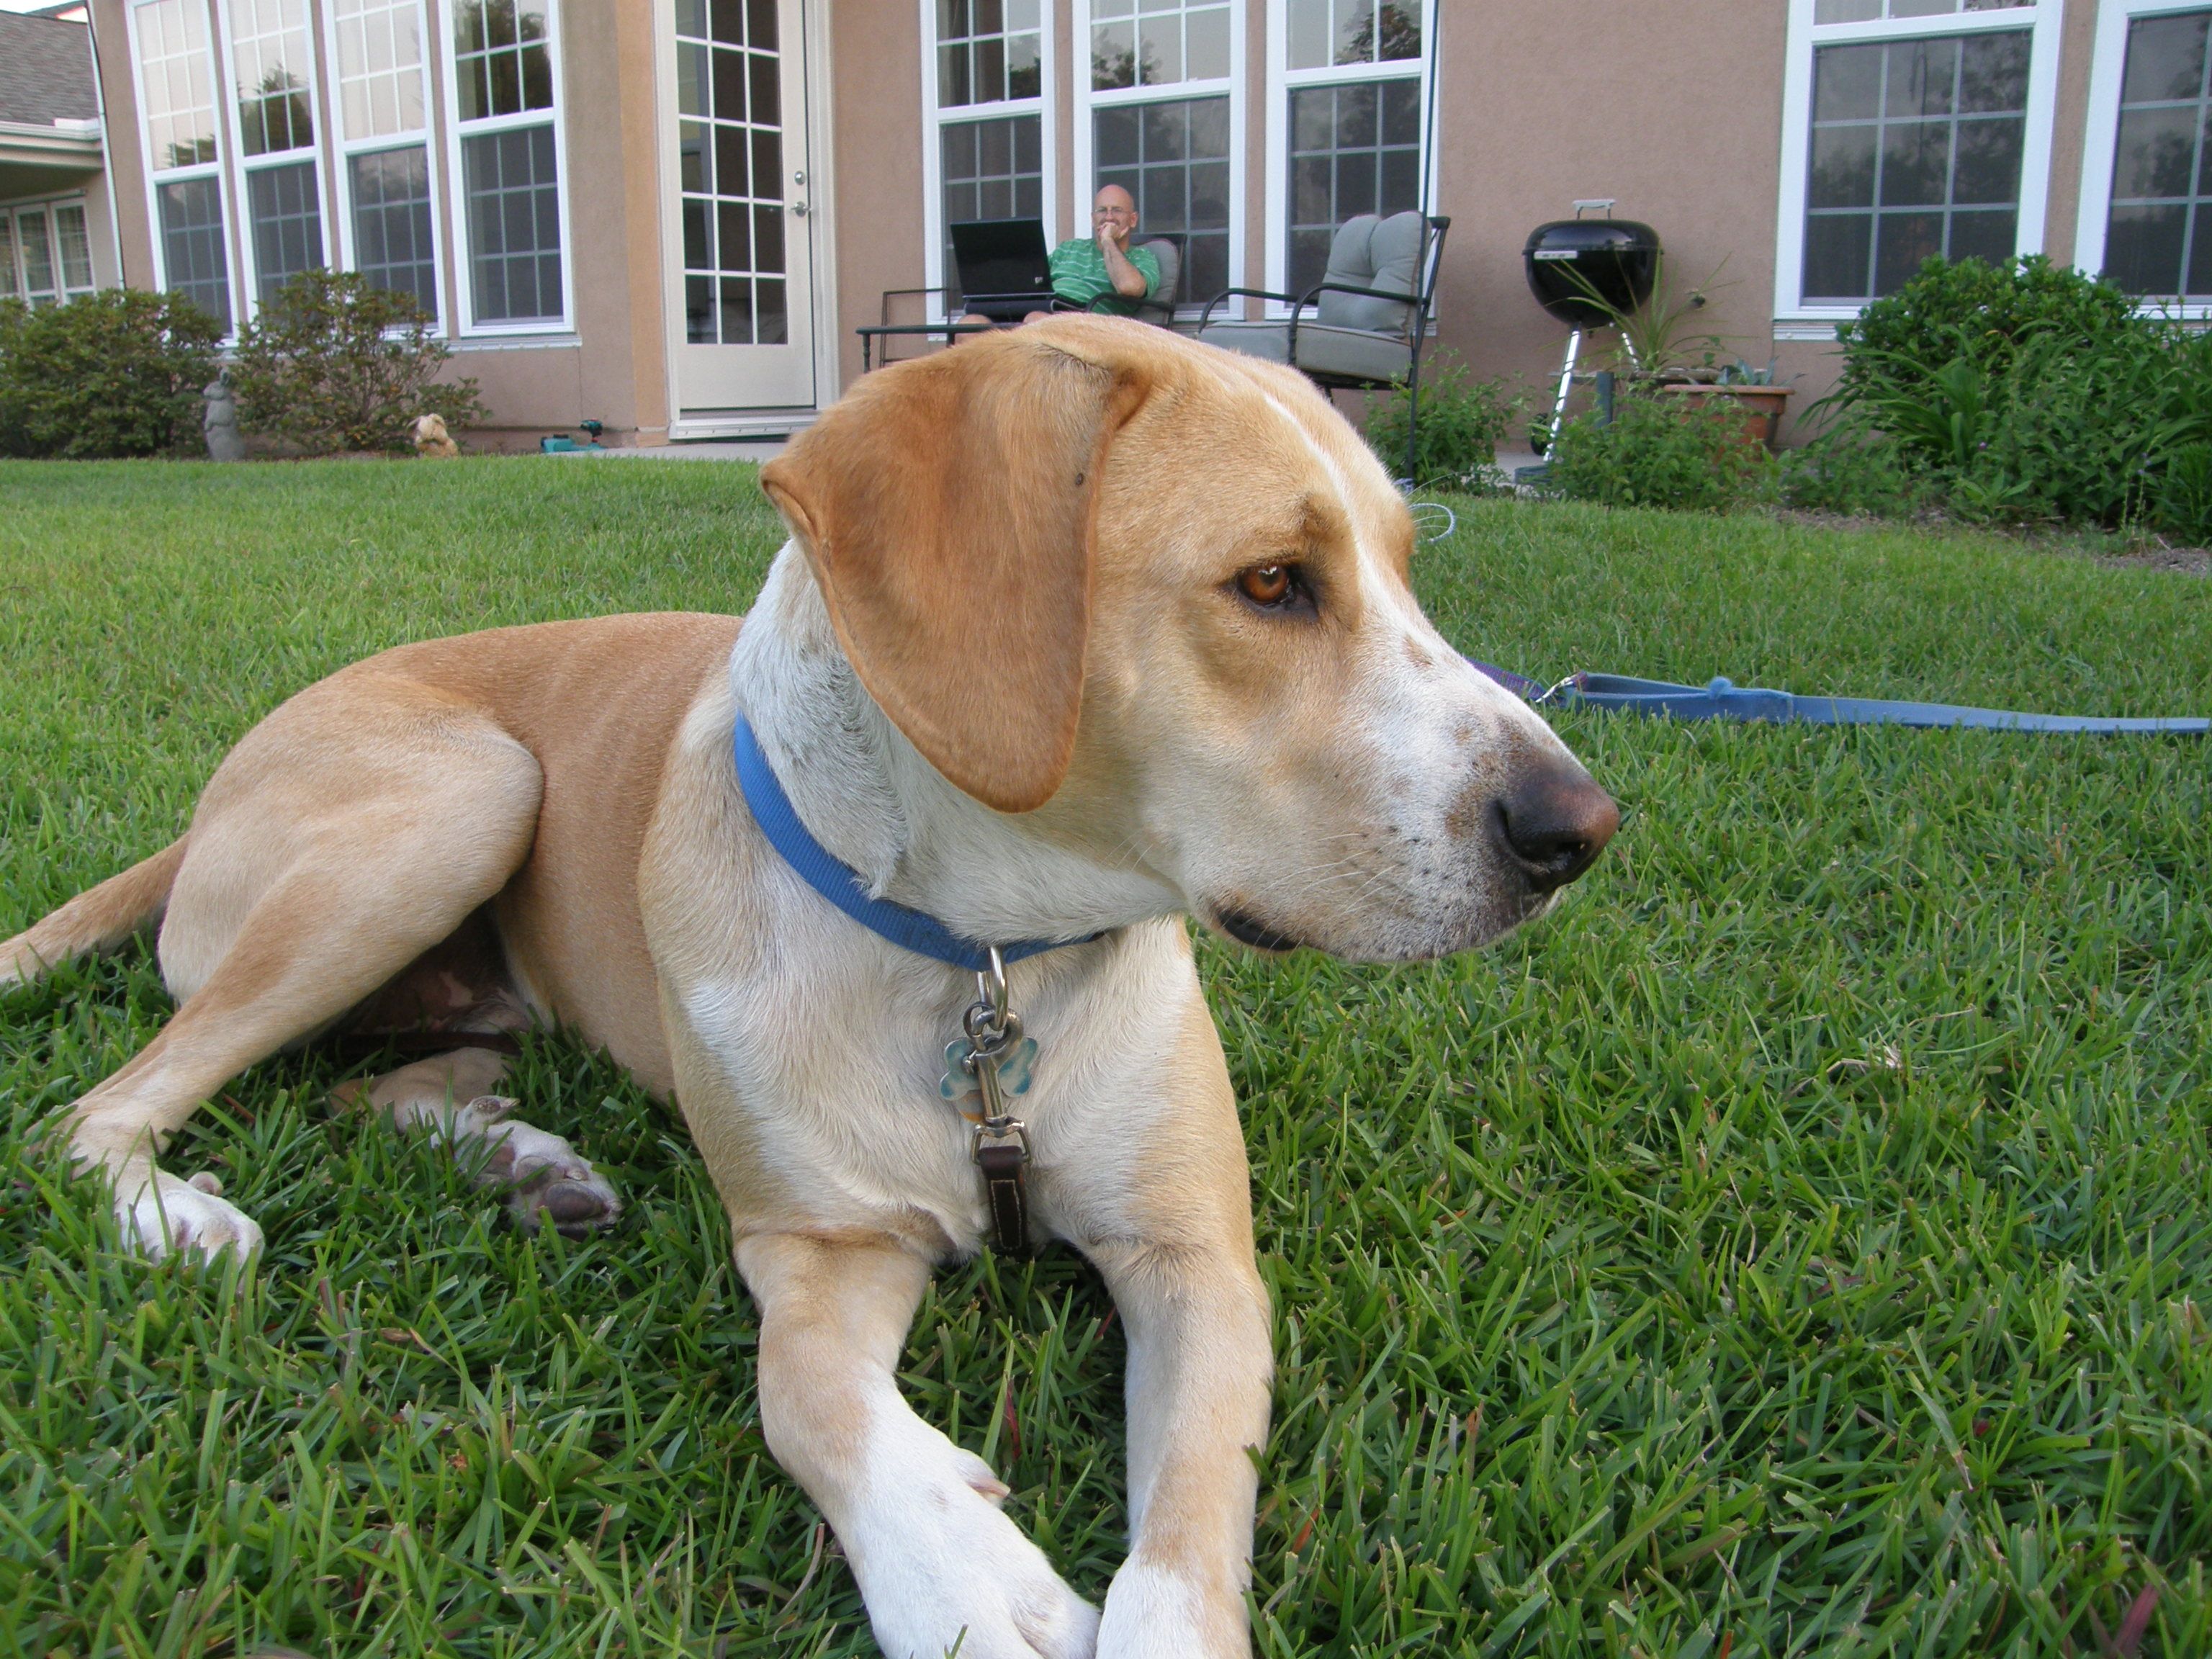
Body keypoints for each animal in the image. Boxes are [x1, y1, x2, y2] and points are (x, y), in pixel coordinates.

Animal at [9, 318, 1619, 1654]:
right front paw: (967, 1579)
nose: (1580, 828)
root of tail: (205, 806)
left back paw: (519, 1160)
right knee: (96, 1112)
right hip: (463, 793)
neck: (982, 960)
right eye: (1271, 583)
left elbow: (1191, 1512)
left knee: (378, 1079)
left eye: (1406, 565)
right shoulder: (820, 1247)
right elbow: (809, 1397)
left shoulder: (1195, 1257)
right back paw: (177, 1214)